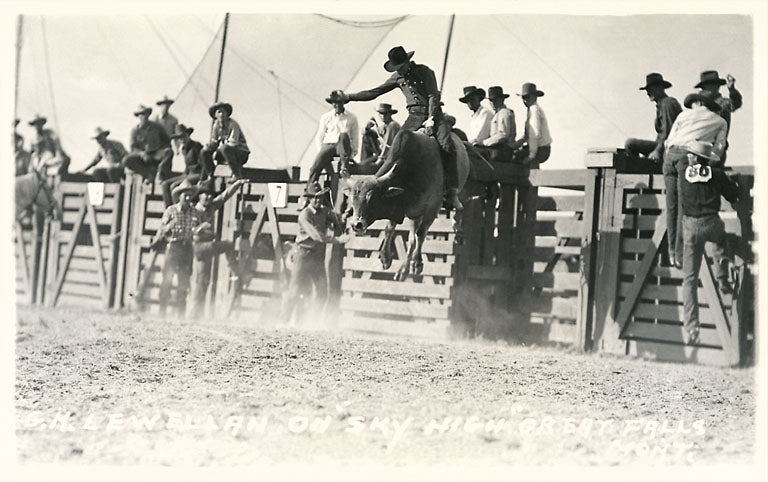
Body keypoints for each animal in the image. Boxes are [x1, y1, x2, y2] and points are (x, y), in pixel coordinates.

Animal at [343, 129, 477, 281]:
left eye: (372, 199)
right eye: (353, 199)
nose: (356, 225)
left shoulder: (433, 208)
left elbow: (421, 234)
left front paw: (417, 263)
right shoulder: (400, 208)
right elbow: (390, 229)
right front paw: (385, 258)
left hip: (462, 191)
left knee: (461, 206)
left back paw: (458, 229)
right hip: (415, 214)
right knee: (412, 238)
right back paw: (403, 270)